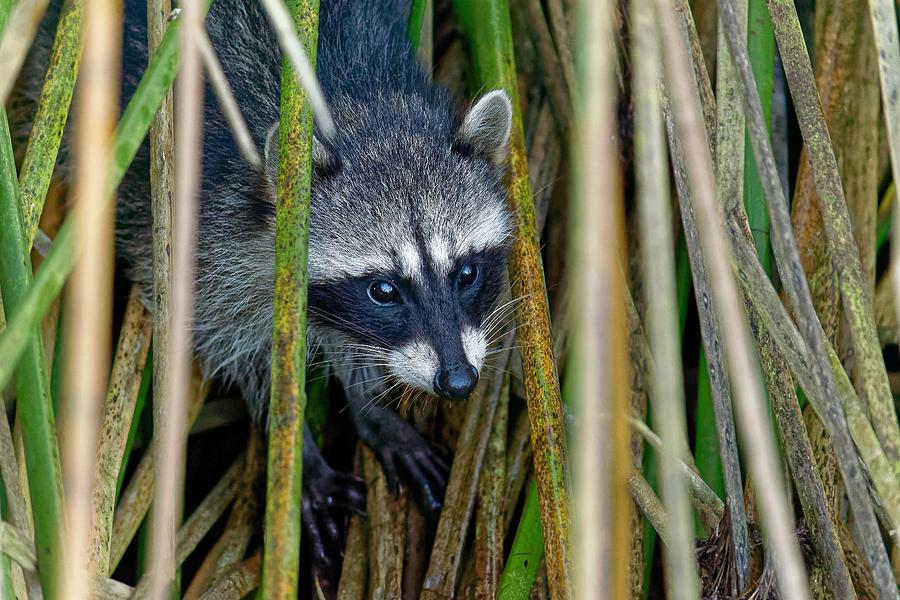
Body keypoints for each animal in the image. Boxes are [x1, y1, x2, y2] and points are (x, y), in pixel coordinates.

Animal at [17, 0, 514, 578]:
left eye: (465, 273)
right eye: (384, 291)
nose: (457, 382)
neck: (361, 107)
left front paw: (367, 400)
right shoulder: (200, 228)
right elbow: (231, 342)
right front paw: (297, 445)